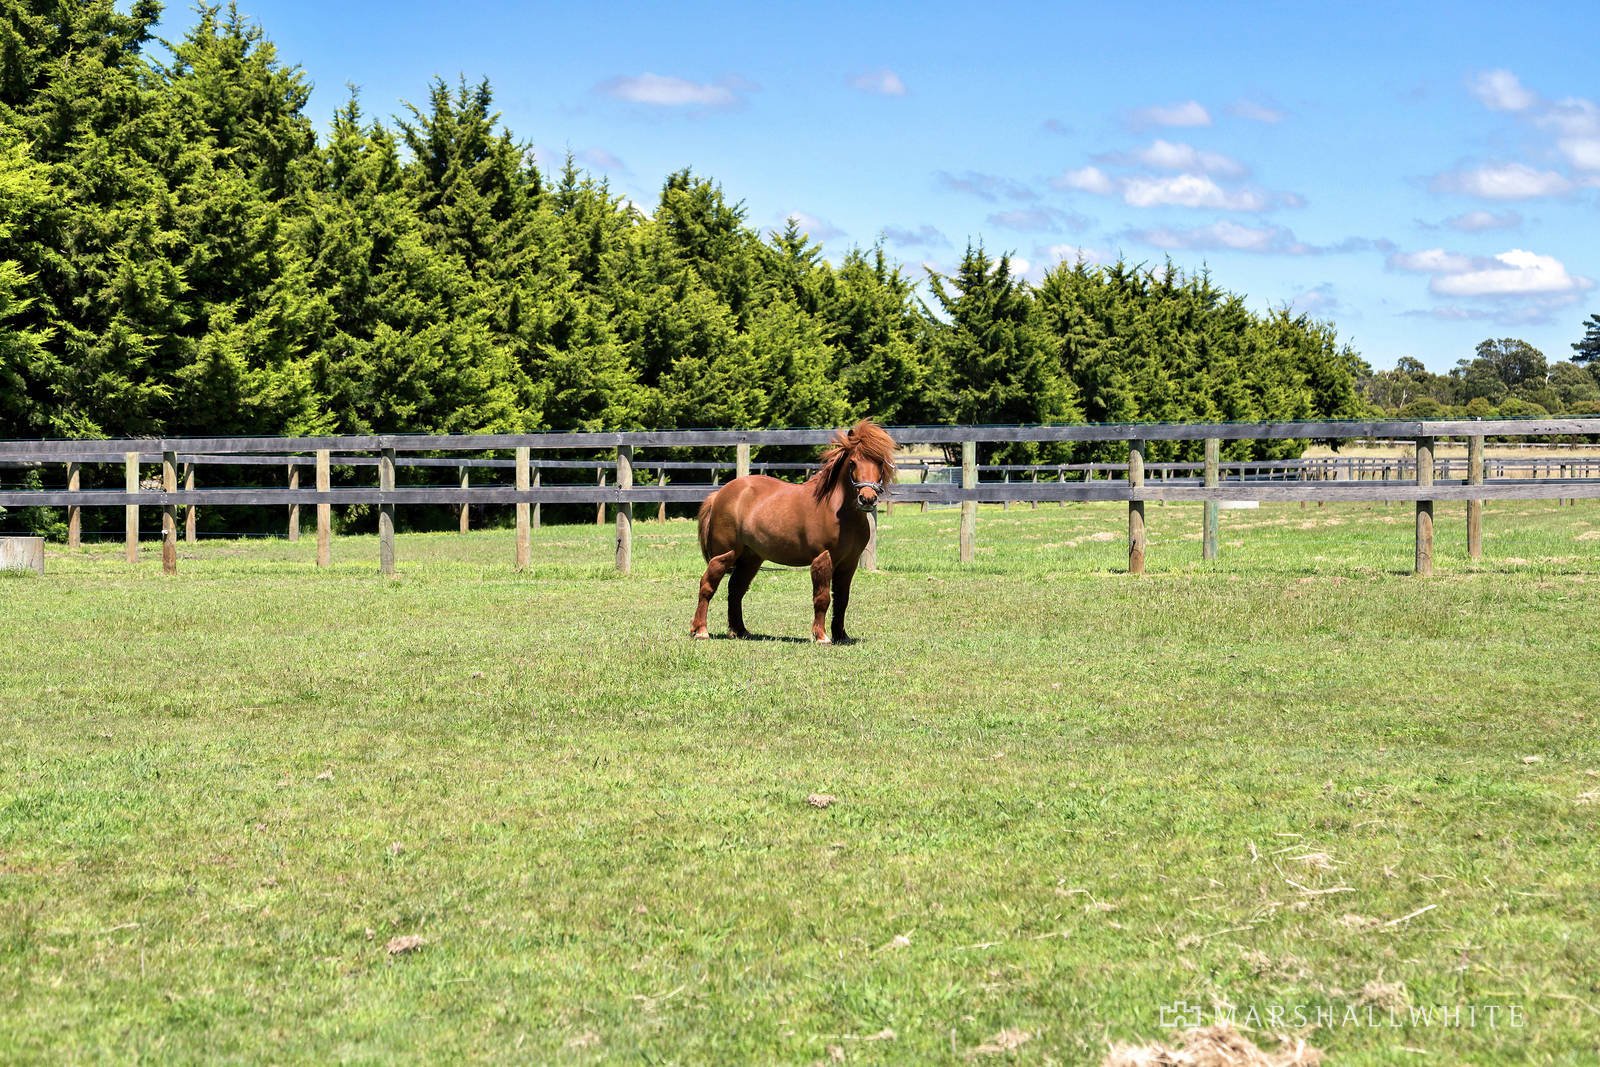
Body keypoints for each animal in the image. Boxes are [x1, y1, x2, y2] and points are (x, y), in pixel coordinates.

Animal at [694, 422, 902, 643]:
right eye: (853, 463)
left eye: (880, 462)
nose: (867, 498)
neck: (837, 510)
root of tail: (719, 494)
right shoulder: (823, 558)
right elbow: (822, 598)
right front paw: (821, 636)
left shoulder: (849, 563)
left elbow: (842, 599)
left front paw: (841, 635)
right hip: (724, 555)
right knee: (707, 585)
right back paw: (700, 630)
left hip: (750, 558)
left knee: (735, 590)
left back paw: (740, 630)